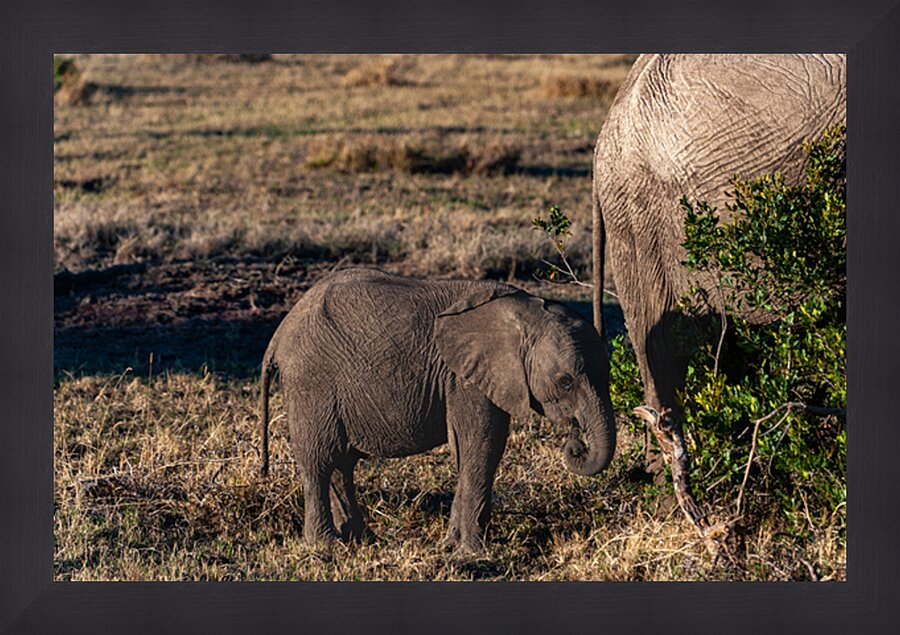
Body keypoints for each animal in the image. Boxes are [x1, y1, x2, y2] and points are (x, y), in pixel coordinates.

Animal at [259, 267, 617, 555]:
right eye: (566, 381)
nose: (575, 443)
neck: (524, 312)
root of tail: (277, 335)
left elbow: (476, 449)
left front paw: (452, 544)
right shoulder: (463, 377)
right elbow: (480, 445)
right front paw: (472, 552)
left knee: (340, 464)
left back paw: (361, 540)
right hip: (311, 383)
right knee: (319, 461)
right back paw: (325, 546)